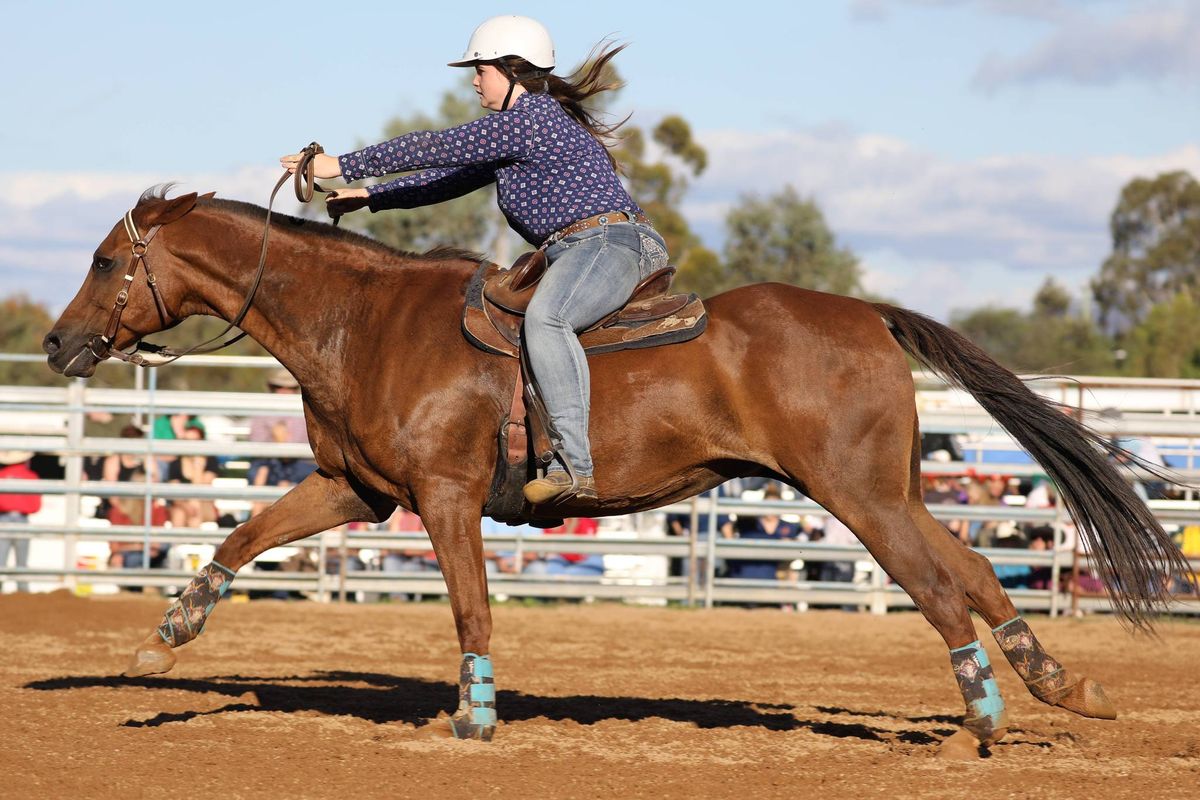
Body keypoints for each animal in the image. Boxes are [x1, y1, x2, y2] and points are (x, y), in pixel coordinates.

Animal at [42, 188, 1185, 758]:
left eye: (103, 260)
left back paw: (983, 718)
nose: (54, 343)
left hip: (858, 497)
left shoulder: (446, 500)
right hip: (891, 489)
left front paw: (475, 715)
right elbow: (241, 534)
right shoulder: (358, 490)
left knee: (942, 588)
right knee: (981, 574)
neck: (364, 320)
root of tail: (865, 313)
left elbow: (470, 609)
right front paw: (167, 633)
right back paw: (1059, 685)